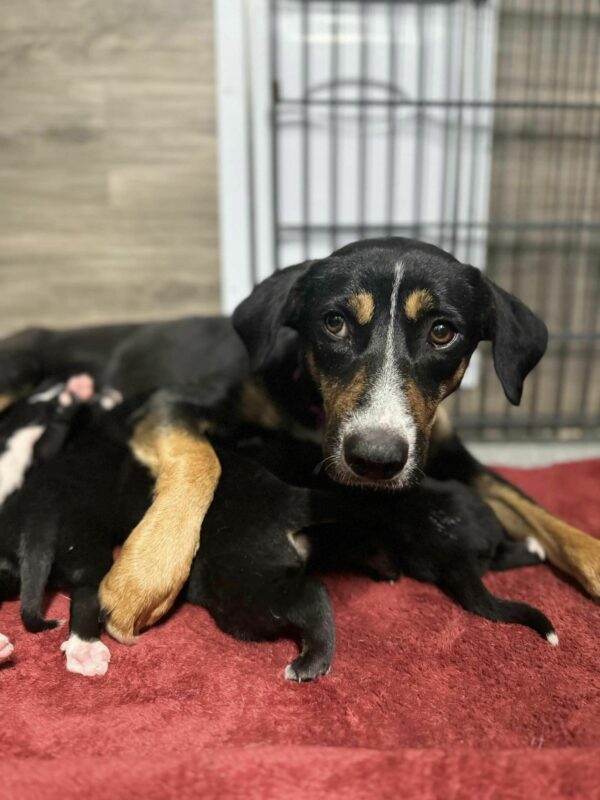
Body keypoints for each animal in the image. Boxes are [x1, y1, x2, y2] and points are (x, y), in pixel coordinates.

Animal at [1, 236, 600, 636]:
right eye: (334, 323)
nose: (376, 458)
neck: (310, 402)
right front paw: (143, 577)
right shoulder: (168, 404)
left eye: (442, 332)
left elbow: (547, 518)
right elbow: (203, 461)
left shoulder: (452, 458)